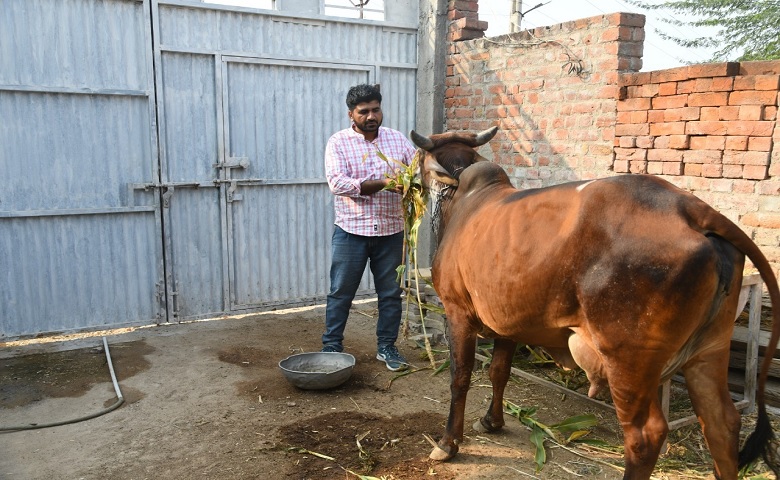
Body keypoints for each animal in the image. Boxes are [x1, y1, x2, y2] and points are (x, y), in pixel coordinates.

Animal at [412, 126, 776, 480]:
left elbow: (460, 377)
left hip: (628, 359)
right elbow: (499, 371)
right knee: (722, 423)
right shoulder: (506, 321)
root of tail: (692, 210)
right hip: (710, 349)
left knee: (646, 435)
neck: (462, 199)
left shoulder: (458, 312)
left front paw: (448, 443)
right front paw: (492, 421)